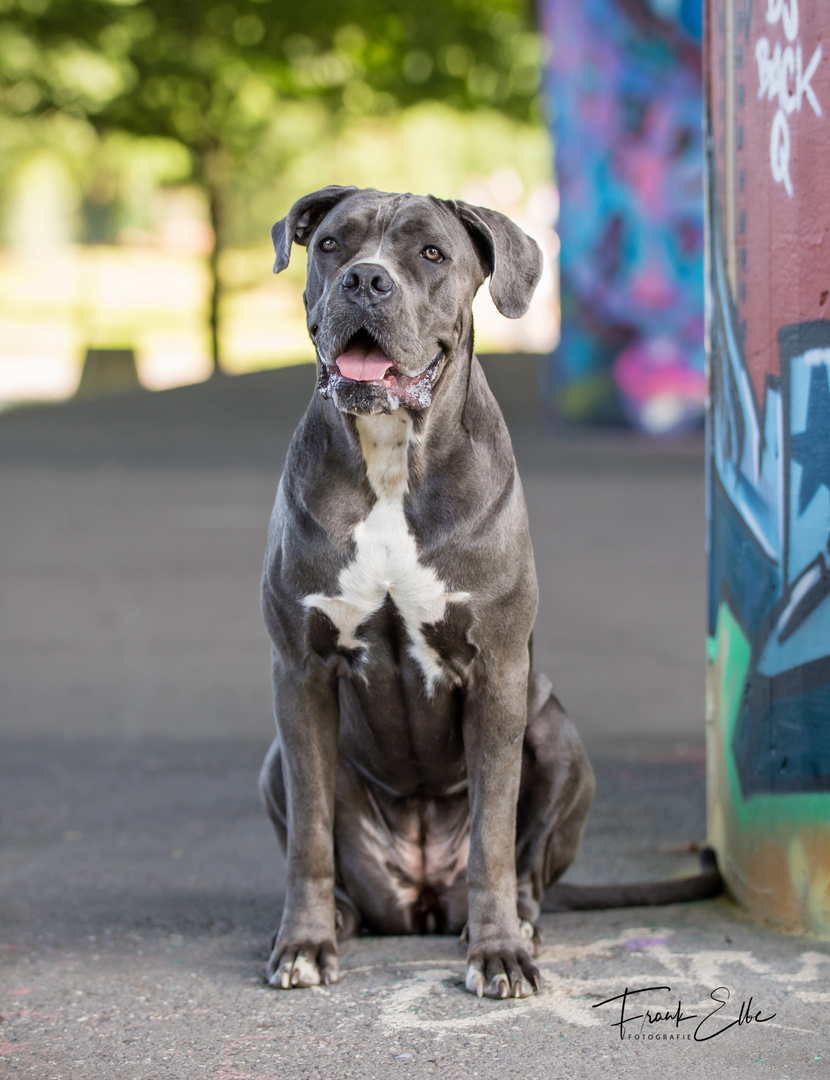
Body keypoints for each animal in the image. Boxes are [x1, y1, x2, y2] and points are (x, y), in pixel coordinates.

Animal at [259, 187, 595, 1002]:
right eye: (332, 245)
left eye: (432, 254)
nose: (366, 280)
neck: (389, 458)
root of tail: (421, 897)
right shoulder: (299, 673)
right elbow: (309, 835)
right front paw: (303, 943)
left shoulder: (498, 673)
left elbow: (495, 835)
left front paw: (500, 952)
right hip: (274, 761)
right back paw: (339, 917)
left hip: (559, 735)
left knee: (526, 865)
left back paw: (513, 923)